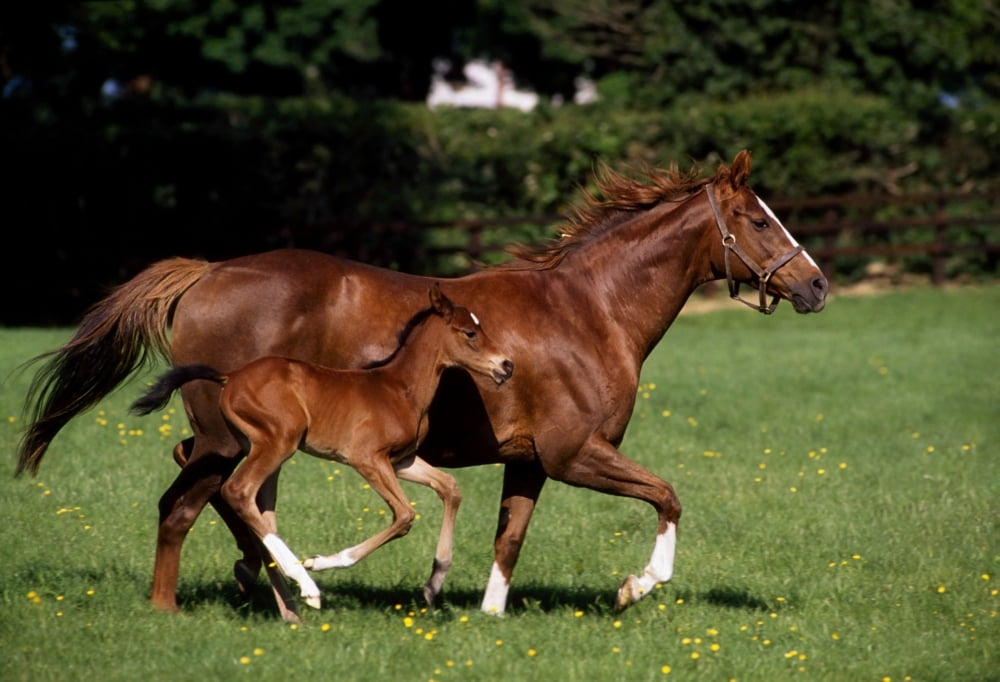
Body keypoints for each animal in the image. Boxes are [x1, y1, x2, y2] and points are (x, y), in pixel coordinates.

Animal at [129, 284, 514, 610]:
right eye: (469, 333)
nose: (506, 365)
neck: (398, 388)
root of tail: (230, 377)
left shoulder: (402, 461)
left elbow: (450, 488)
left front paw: (434, 583)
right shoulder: (366, 459)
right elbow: (405, 515)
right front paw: (322, 562)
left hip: (251, 442)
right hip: (278, 441)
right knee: (238, 489)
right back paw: (306, 584)